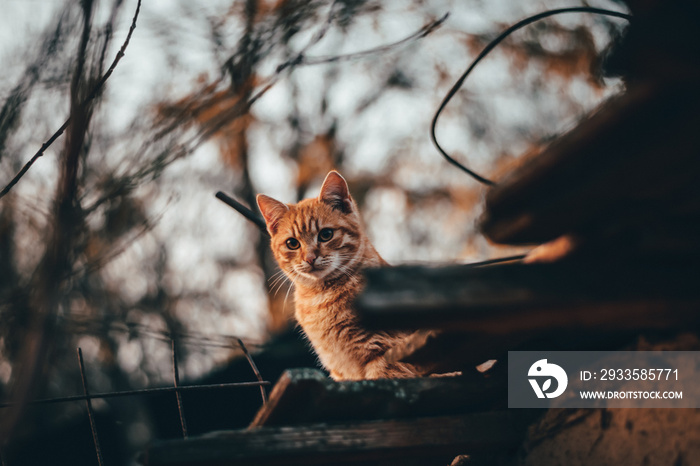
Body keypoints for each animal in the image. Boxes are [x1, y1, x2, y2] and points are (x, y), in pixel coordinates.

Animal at [258, 169, 422, 380]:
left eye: (326, 234)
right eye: (292, 243)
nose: (310, 258)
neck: (320, 297)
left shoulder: (386, 354)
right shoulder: (339, 369)